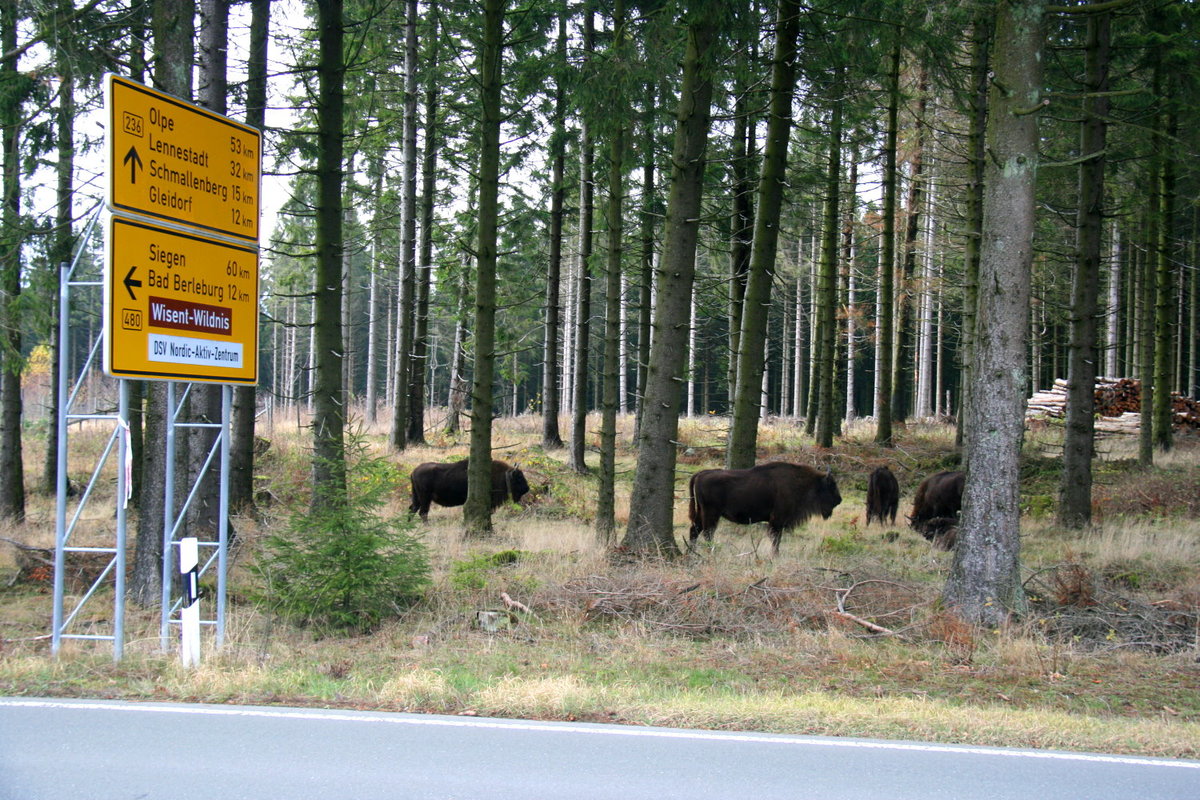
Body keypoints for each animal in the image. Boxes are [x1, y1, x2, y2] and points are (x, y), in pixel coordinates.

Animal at [686, 462, 844, 556]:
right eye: (832, 485)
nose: (839, 500)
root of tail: (701, 473)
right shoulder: (777, 520)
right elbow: (776, 539)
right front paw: (775, 555)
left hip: (702, 512)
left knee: (695, 530)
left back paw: (692, 552)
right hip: (711, 513)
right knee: (707, 532)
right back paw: (710, 552)